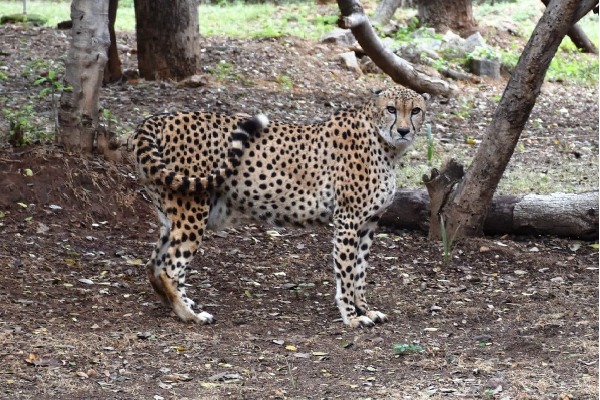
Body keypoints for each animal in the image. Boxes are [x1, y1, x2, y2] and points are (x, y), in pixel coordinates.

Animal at [134, 87, 428, 328]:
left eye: (415, 110)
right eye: (391, 109)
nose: (403, 131)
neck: (386, 145)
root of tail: (159, 118)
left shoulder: (369, 223)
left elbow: (360, 271)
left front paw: (365, 309)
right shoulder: (348, 220)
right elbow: (346, 271)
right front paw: (352, 316)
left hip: (172, 215)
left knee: (153, 265)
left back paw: (176, 305)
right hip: (192, 212)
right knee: (170, 268)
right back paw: (190, 315)